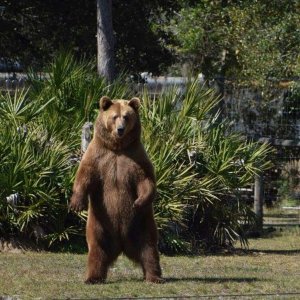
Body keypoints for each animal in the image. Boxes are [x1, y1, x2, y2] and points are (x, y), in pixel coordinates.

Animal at [69, 95, 163, 284]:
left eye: (126, 117)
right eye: (114, 117)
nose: (120, 129)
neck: (117, 147)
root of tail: (121, 244)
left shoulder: (136, 157)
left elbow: (146, 179)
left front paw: (139, 201)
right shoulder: (98, 156)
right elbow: (85, 175)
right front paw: (76, 204)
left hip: (142, 223)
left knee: (149, 248)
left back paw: (154, 276)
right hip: (99, 223)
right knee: (97, 249)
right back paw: (93, 277)